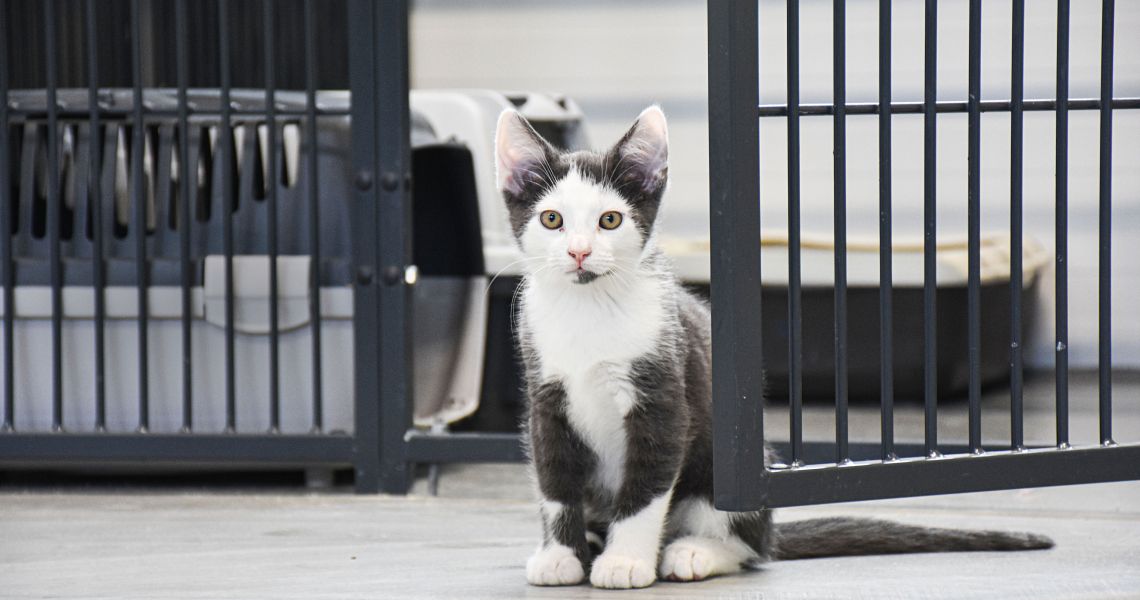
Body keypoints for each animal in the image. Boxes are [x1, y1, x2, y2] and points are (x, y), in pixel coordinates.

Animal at [494, 106, 1053, 588]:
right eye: (551, 220)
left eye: (610, 220)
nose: (579, 252)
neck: (588, 311)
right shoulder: (545, 399)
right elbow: (554, 484)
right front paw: (561, 557)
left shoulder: (664, 399)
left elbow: (646, 488)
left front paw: (626, 561)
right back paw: (594, 543)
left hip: (728, 468)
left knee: (749, 546)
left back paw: (691, 552)